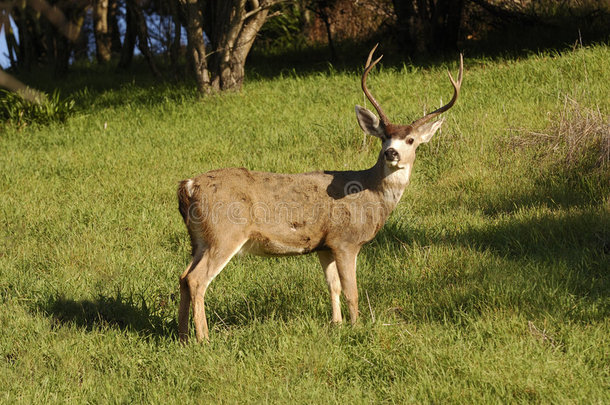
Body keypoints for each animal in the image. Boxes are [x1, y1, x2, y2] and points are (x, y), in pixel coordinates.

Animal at [176, 44, 460, 340]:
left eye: (411, 139)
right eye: (384, 137)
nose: (391, 152)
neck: (369, 193)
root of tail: (189, 185)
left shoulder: (325, 244)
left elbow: (333, 285)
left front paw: (337, 324)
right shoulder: (345, 240)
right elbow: (351, 291)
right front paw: (356, 327)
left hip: (199, 239)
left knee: (183, 277)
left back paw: (183, 336)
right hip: (225, 233)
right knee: (196, 279)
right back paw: (204, 338)